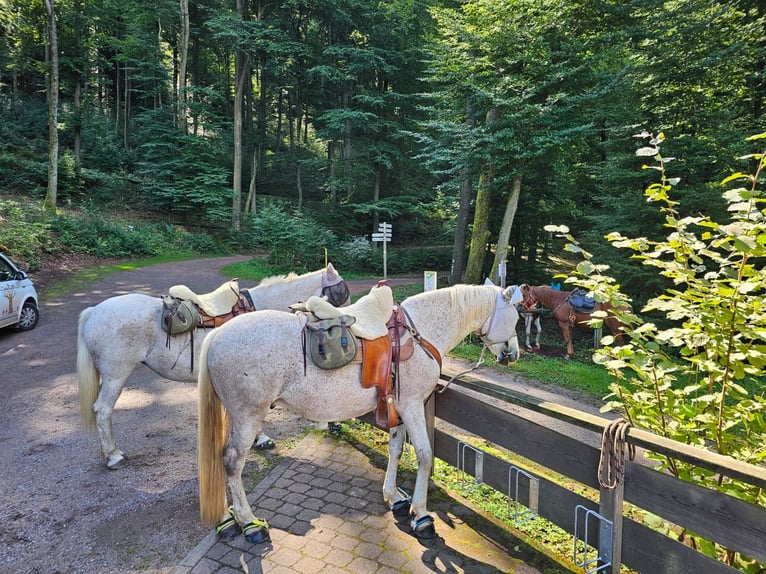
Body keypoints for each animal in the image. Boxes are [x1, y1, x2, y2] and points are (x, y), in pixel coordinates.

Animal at [77, 263, 349, 470]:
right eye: (340, 294)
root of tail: (94, 311)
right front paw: (260, 438)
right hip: (115, 374)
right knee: (103, 409)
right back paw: (113, 455)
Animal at [197, 283, 522, 543]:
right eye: (516, 318)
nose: (513, 354)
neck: (422, 330)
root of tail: (216, 336)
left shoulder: (398, 407)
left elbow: (395, 449)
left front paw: (394, 497)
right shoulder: (413, 405)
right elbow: (424, 455)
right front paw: (421, 514)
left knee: (219, 458)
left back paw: (228, 519)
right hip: (248, 415)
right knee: (232, 462)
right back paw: (248, 523)